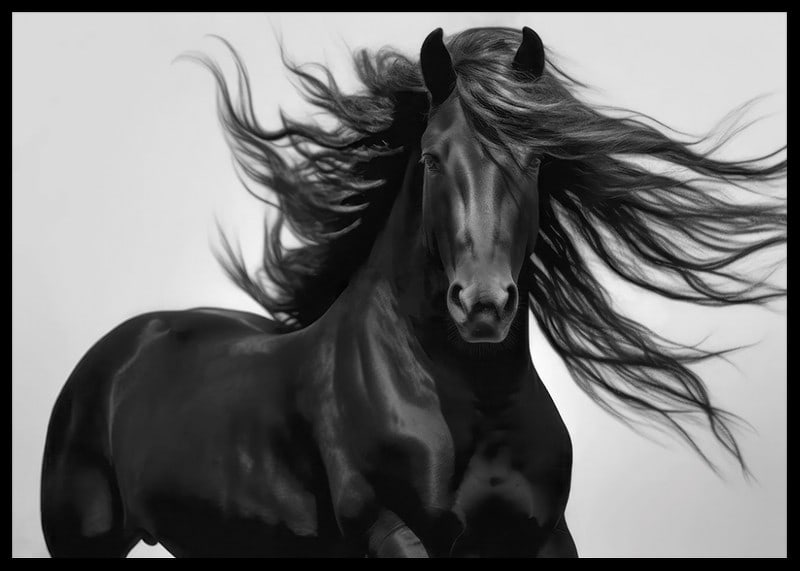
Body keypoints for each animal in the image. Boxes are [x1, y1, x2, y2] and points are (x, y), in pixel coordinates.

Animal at [40, 26, 786, 557]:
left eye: (536, 159)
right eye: (431, 159)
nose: (482, 305)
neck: (473, 403)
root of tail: (117, 349)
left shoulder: (543, 535)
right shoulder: (393, 530)